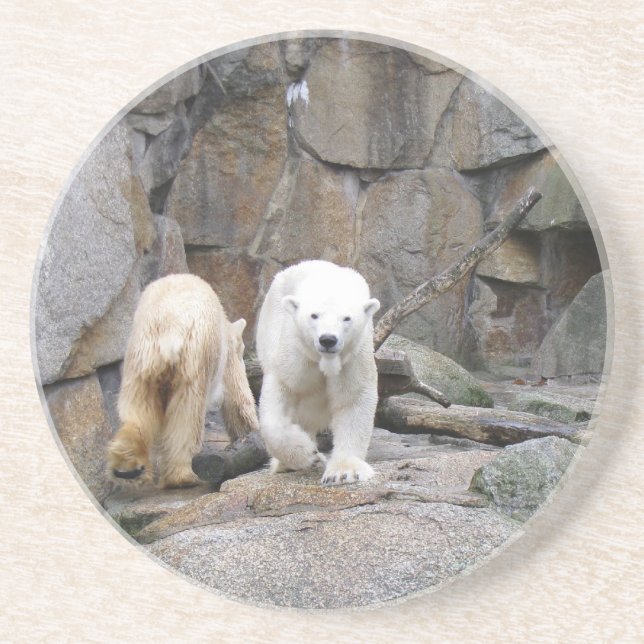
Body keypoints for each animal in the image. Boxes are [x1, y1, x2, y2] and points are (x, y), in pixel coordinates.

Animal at [107, 273, 259, 488]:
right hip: (193, 359)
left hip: (140, 360)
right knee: (188, 414)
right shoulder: (224, 356)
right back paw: (183, 477)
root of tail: (170, 329)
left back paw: (127, 467)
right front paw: (251, 433)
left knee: (138, 410)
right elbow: (237, 397)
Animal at [255, 260, 380, 485]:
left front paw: (344, 472)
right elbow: (282, 390)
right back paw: (285, 464)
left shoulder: (353, 356)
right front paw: (308, 454)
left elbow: (353, 398)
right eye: (314, 315)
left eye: (346, 318)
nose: (328, 339)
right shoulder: (296, 352)